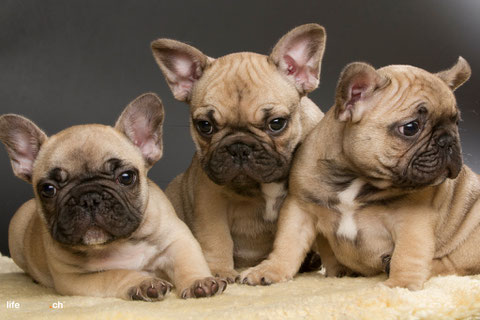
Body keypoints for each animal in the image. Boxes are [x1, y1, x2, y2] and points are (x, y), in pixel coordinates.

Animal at [0, 92, 226, 300]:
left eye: (126, 177)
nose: (89, 198)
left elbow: (187, 262)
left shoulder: (178, 240)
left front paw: (198, 281)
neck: (118, 244)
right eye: (48, 189)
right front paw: (144, 283)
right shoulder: (74, 279)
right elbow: (116, 273)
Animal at [152, 23, 326, 282]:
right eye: (205, 126)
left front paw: (272, 270)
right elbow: (217, 237)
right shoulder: (210, 198)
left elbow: (288, 238)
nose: (239, 148)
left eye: (277, 123)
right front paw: (220, 270)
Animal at [239, 57, 476, 290]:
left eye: (456, 122)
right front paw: (269, 270)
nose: (447, 140)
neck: (357, 177)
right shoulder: (300, 208)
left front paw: (400, 285)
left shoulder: (412, 221)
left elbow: (407, 255)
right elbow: (287, 244)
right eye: (411, 127)